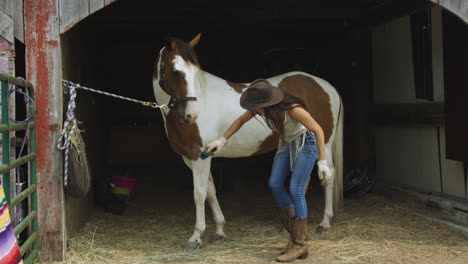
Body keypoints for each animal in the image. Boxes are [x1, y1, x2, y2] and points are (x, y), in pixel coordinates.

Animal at [154, 35, 344, 252]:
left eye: (196, 72)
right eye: (175, 71)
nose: (191, 115)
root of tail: (327, 87)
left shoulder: (199, 157)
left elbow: (199, 194)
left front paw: (196, 237)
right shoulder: (194, 158)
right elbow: (211, 191)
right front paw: (219, 230)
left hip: (324, 143)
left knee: (328, 176)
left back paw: (324, 223)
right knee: (303, 181)